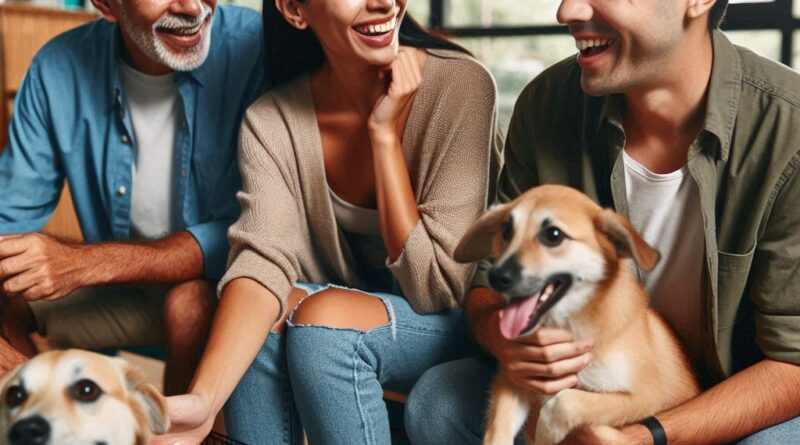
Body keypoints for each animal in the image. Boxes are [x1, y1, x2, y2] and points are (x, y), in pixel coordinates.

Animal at [456, 185, 700, 444]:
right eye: (506, 231)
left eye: (553, 235)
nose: (495, 276)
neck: (571, 325)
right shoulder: (515, 378)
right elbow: (498, 430)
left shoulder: (646, 397)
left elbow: (564, 401)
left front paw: (545, 433)